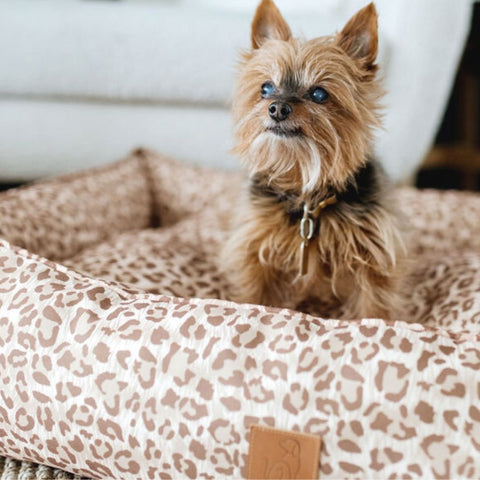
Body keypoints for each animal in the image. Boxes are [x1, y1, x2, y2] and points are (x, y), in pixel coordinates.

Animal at [221, 0, 404, 318]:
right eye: (265, 88)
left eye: (319, 93)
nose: (277, 108)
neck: (304, 184)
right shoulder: (256, 250)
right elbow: (255, 294)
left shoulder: (374, 255)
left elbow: (373, 304)